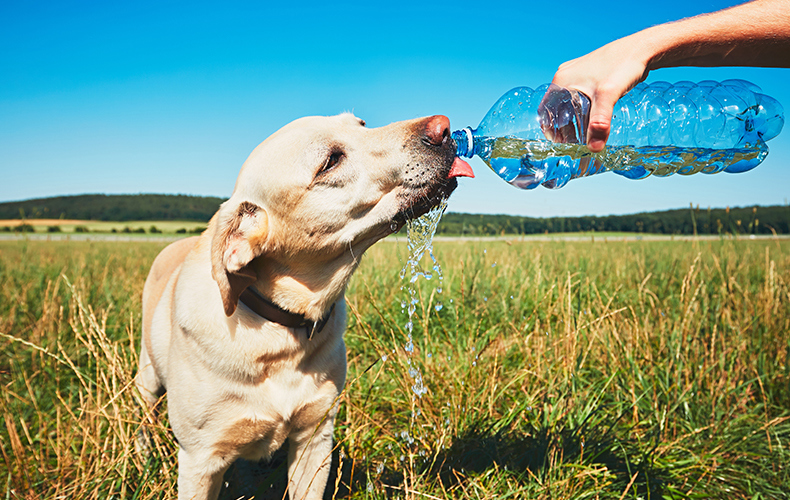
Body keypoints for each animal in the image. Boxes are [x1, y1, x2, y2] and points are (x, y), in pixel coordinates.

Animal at [136, 113, 474, 500]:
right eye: (330, 161)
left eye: (361, 124)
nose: (443, 127)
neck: (280, 331)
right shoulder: (200, 459)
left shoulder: (315, 439)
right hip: (147, 377)